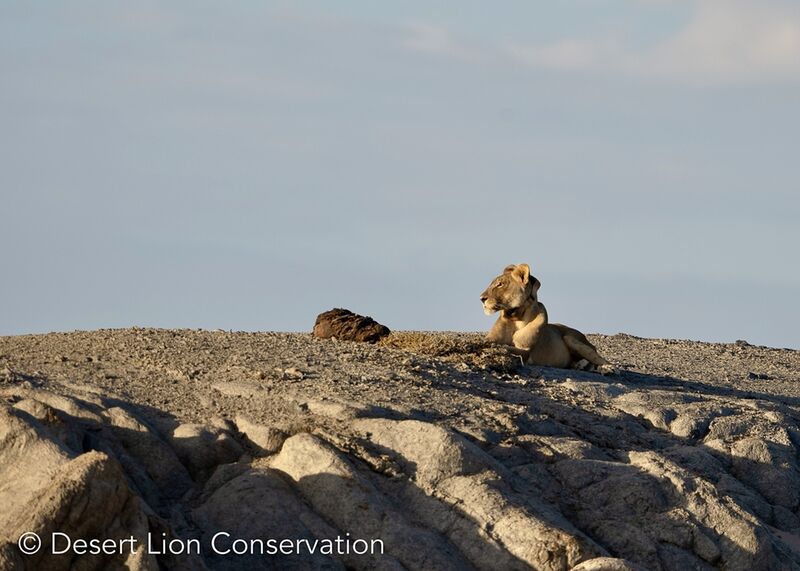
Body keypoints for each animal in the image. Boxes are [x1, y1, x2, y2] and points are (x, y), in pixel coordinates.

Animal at [482, 264, 612, 376]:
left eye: (500, 284)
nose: (481, 298)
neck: (516, 318)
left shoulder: (526, 350)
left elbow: (507, 348)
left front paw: (497, 347)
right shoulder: (491, 338)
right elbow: (491, 342)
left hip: (570, 339)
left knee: (601, 360)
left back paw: (606, 368)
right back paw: (579, 365)